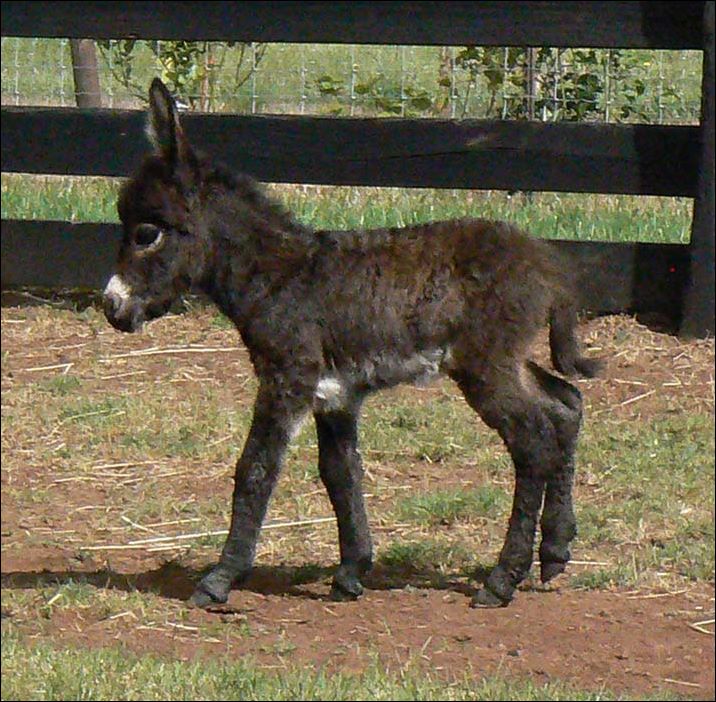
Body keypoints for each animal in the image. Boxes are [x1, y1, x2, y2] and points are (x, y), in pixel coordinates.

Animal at [103, 78, 600, 609]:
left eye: (147, 233)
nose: (112, 306)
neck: (278, 278)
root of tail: (547, 263)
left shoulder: (287, 379)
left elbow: (256, 469)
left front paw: (220, 578)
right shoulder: (335, 394)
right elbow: (340, 473)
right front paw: (351, 569)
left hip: (485, 366)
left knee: (533, 439)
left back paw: (502, 578)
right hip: (506, 359)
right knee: (566, 406)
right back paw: (555, 550)